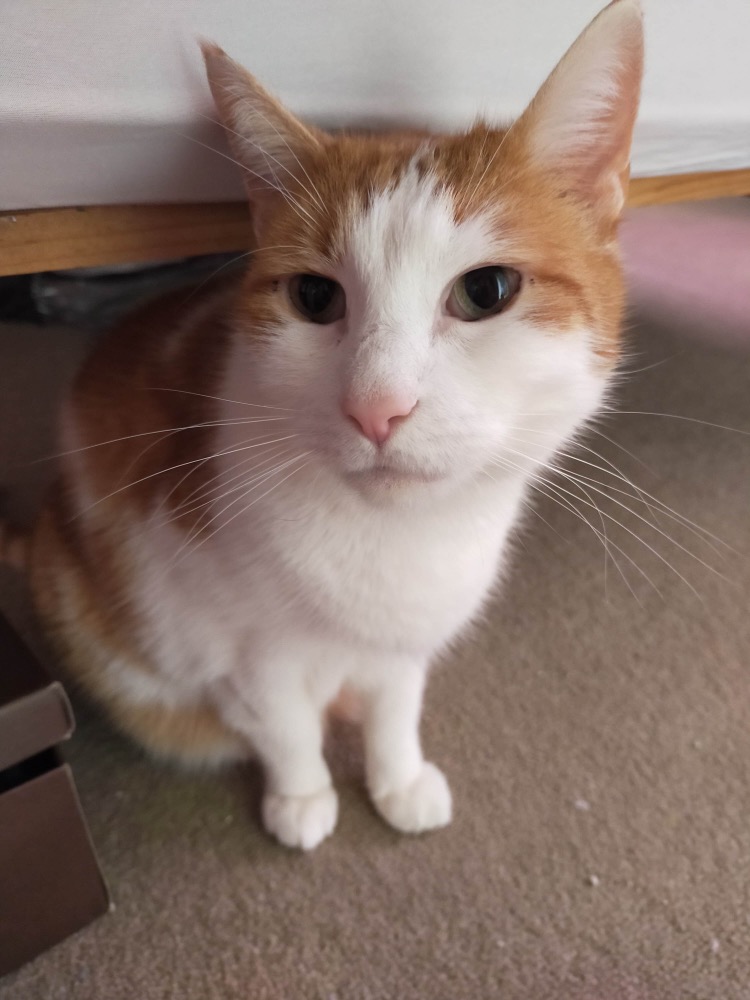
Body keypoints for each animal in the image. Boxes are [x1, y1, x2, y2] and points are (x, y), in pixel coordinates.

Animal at [23, 0, 643, 850]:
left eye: (486, 290)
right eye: (315, 298)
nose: (376, 406)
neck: (399, 545)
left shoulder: (405, 644)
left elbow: (396, 705)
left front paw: (397, 777)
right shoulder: (233, 644)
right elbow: (281, 722)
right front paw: (303, 795)